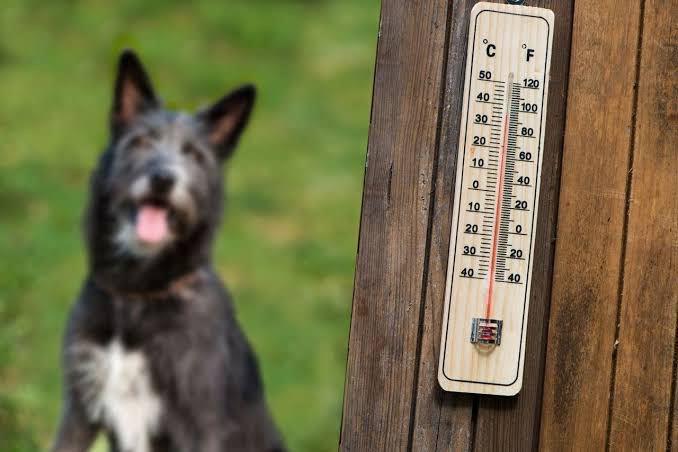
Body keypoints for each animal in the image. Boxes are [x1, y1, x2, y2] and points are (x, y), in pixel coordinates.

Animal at [51, 50, 286, 452]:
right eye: (142, 141)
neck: (137, 296)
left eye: (193, 154)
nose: (163, 178)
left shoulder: (200, 426)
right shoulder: (80, 408)